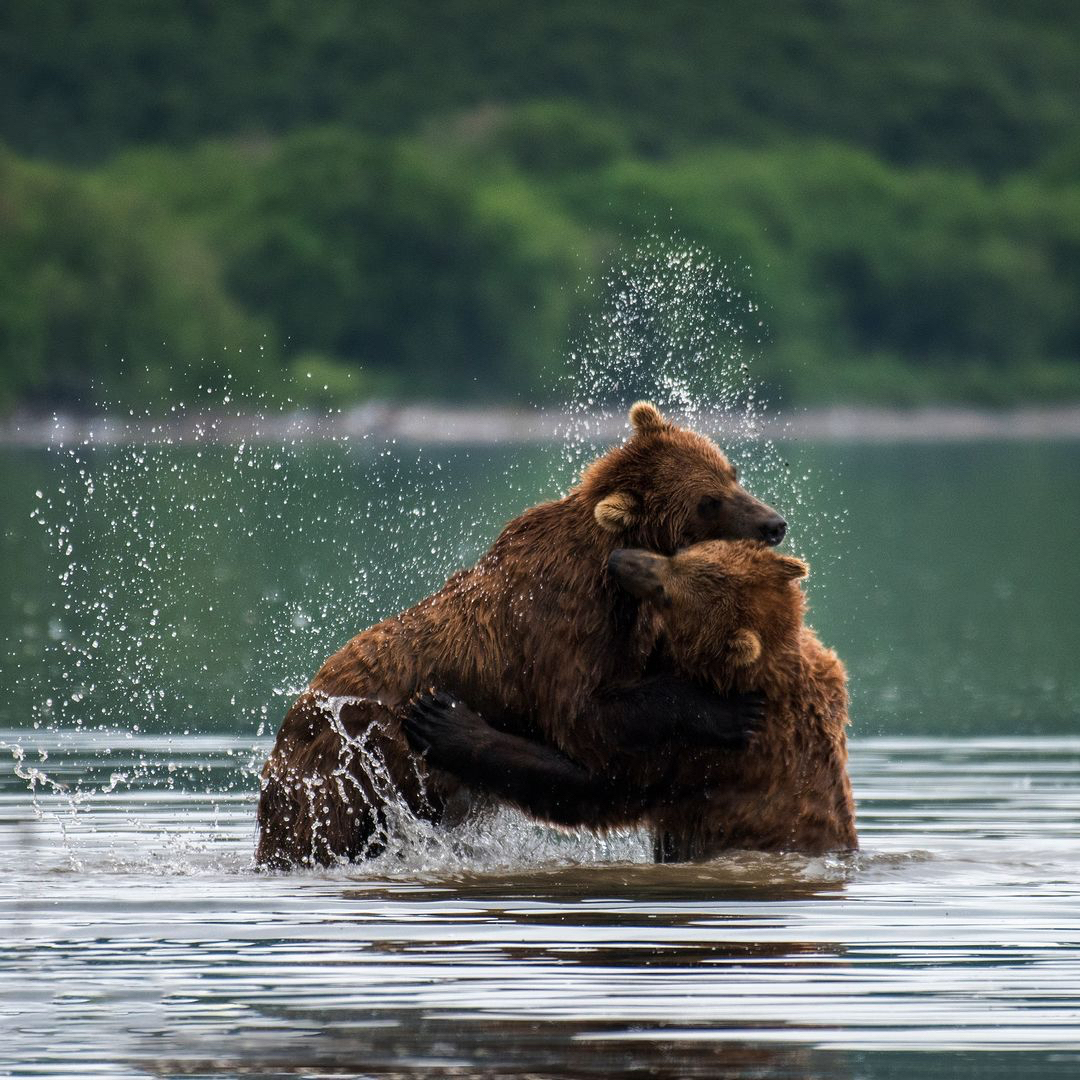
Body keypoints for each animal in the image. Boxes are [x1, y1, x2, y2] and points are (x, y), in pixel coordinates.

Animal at [257, 403, 790, 868]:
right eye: (708, 502)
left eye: (732, 473)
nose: (774, 524)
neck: (611, 574)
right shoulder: (563, 632)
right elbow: (592, 721)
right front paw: (722, 709)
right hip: (345, 768)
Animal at [408, 540, 855, 859]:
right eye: (681, 554)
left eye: (668, 593)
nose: (619, 559)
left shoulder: (708, 759)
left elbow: (596, 781)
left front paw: (443, 719)